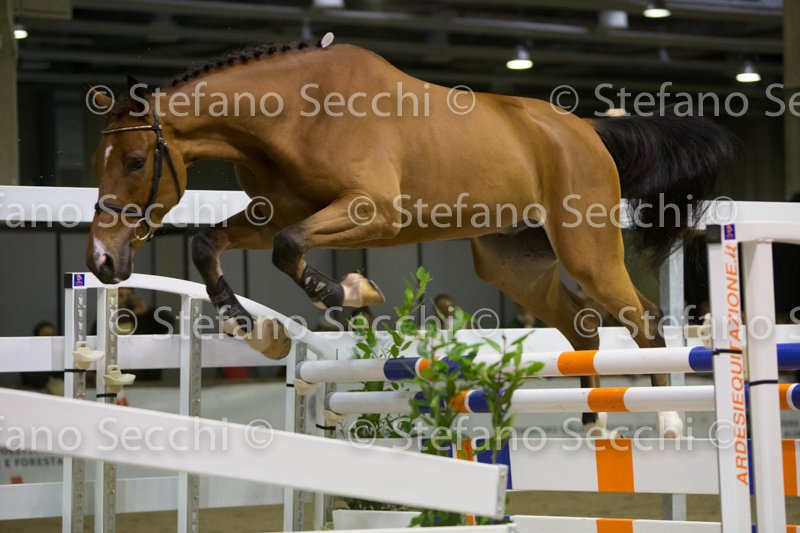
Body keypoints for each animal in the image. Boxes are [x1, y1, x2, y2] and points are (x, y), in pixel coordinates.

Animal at [85, 35, 734, 437]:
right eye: (100, 160)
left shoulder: (373, 210)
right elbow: (211, 244)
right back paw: (595, 419)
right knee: (583, 325)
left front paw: (348, 292)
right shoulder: (275, 211)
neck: (294, 116)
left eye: (137, 161)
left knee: (642, 318)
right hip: (514, 263)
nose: (102, 262)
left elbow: (291, 249)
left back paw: (667, 420)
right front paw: (252, 329)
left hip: (588, 250)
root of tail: (589, 130)